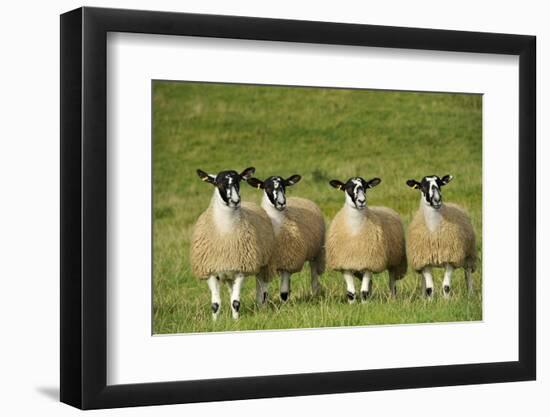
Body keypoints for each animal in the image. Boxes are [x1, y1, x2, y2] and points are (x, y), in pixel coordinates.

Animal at [191, 166, 276, 318]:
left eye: (239, 181)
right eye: (218, 183)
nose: (236, 201)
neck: (226, 236)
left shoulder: (241, 270)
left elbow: (236, 302)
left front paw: (236, 321)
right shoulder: (211, 271)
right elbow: (215, 304)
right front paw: (216, 321)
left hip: (265, 263)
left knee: (262, 288)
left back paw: (262, 307)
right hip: (230, 274)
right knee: (233, 292)